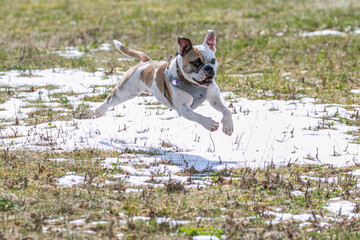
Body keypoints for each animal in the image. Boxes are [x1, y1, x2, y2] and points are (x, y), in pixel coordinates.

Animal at [95, 30, 233, 136]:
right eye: (196, 62)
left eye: (213, 60)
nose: (209, 69)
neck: (193, 84)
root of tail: (145, 61)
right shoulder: (183, 108)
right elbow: (197, 116)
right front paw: (210, 124)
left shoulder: (215, 98)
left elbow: (226, 110)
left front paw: (228, 126)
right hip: (125, 92)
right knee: (109, 100)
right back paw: (98, 111)